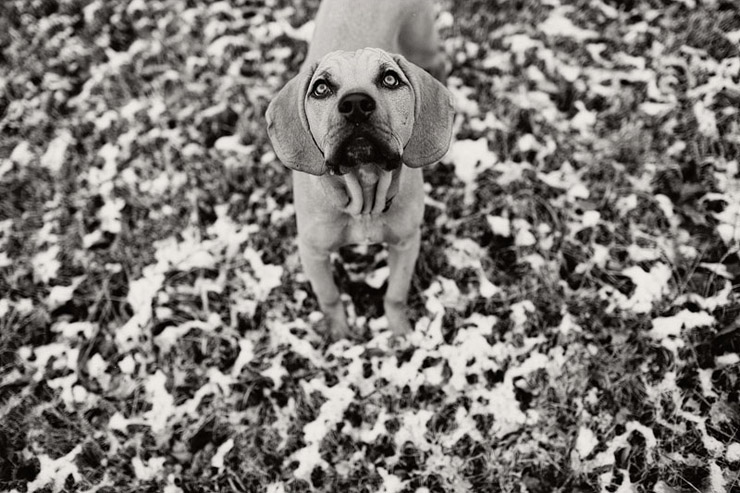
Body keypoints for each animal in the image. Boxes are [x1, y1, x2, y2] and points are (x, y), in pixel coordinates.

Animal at [264, 0, 454, 338]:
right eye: (321, 88)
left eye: (390, 79)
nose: (354, 104)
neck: (364, 185)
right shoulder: (312, 251)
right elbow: (329, 296)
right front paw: (339, 334)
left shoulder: (407, 243)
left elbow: (395, 295)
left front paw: (400, 332)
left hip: (422, 41)